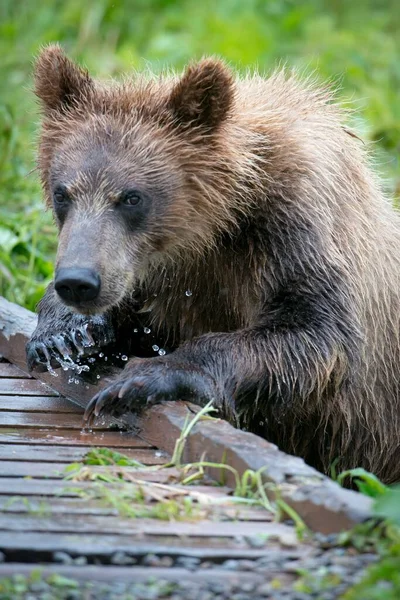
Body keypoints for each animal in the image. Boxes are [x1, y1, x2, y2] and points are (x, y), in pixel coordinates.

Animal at [26, 44, 400, 482]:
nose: (78, 282)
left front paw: (139, 379)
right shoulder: (166, 276)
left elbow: (315, 332)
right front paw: (63, 335)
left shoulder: (297, 226)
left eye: (132, 197)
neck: (215, 227)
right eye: (62, 192)